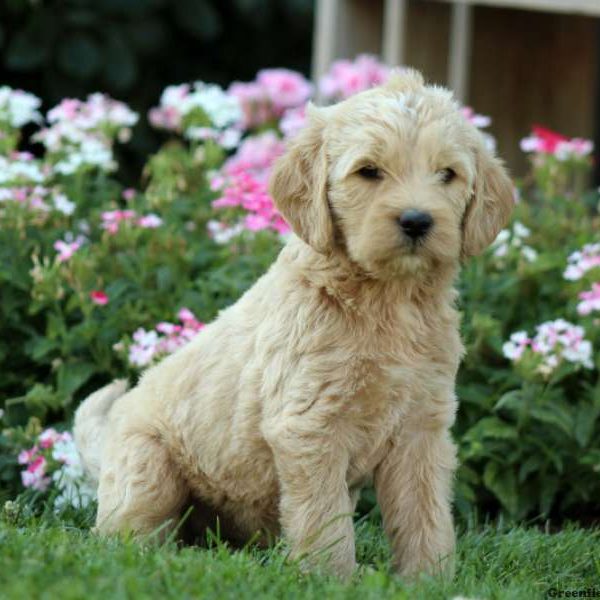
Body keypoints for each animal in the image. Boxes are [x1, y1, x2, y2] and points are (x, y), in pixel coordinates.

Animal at [75, 68, 512, 580]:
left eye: (447, 174)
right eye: (369, 172)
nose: (417, 221)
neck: (389, 300)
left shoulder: (422, 428)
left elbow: (425, 514)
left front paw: (428, 579)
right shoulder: (310, 425)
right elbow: (324, 517)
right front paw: (332, 579)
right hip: (148, 465)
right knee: (123, 535)